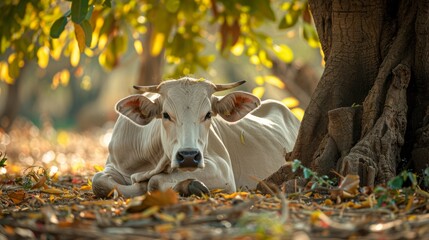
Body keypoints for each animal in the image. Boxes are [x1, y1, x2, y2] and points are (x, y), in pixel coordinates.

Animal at [91, 78, 298, 198]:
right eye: (165, 115)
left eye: (208, 114)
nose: (189, 156)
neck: (148, 161)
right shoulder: (114, 165)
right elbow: (98, 181)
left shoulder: (223, 171)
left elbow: (154, 182)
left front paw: (188, 185)